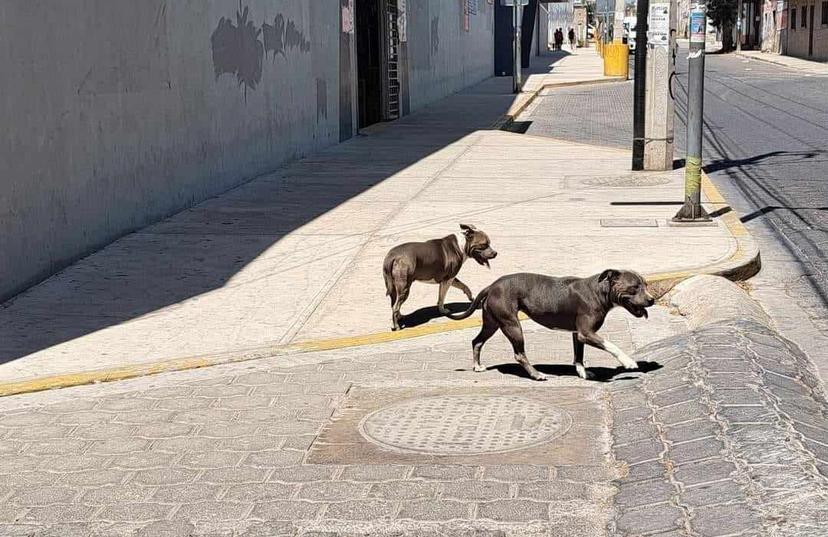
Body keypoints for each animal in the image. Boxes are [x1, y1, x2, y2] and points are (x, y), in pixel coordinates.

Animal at [450, 270, 656, 378]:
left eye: (645, 285)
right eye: (634, 287)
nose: (652, 299)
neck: (599, 291)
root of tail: (492, 285)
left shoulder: (577, 334)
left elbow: (578, 356)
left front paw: (583, 373)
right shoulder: (586, 333)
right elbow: (612, 345)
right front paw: (628, 362)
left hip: (492, 323)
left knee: (477, 341)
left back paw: (477, 366)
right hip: (512, 325)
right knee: (519, 354)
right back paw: (536, 374)